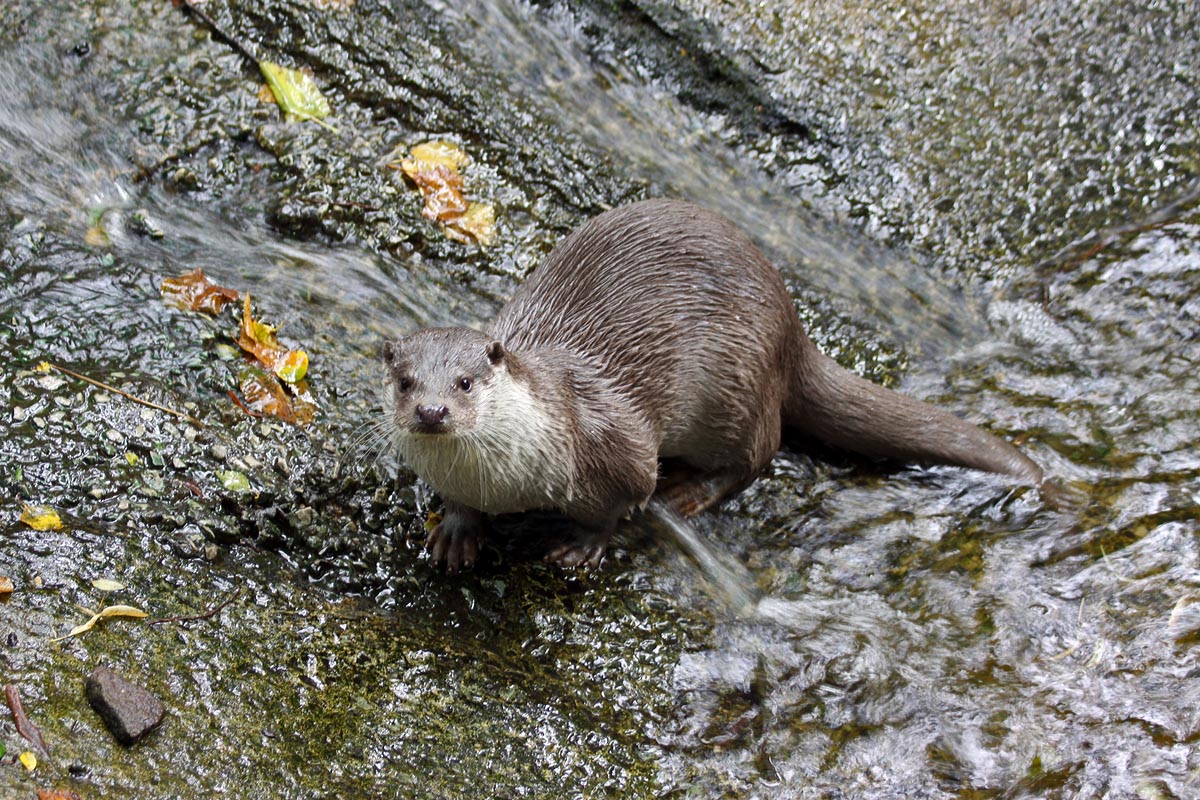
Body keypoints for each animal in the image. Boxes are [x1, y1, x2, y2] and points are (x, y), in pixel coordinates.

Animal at [383, 198, 1042, 572]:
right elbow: (458, 505)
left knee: (761, 451)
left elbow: (621, 500)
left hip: (732, 387)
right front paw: (457, 531)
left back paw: (691, 493)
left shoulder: (615, 446)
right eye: (406, 381)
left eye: (466, 382)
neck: (508, 480)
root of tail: (789, 320)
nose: (433, 412)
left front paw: (583, 544)